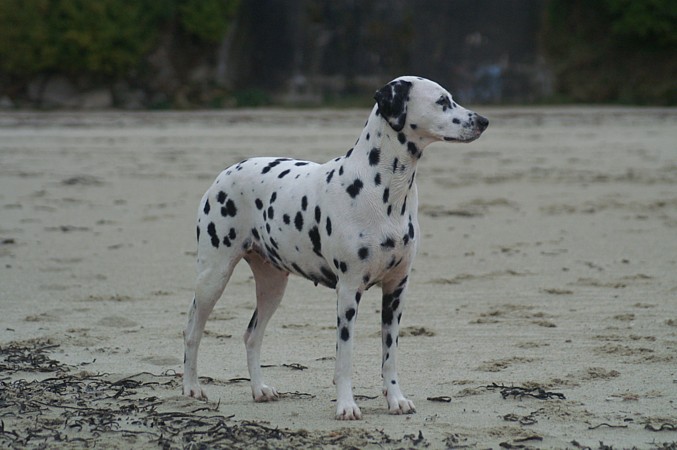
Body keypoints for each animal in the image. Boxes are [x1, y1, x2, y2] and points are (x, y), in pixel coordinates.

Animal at [182, 75, 488, 420]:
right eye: (442, 101)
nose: (483, 121)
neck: (384, 191)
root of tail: (227, 172)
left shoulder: (396, 290)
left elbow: (390, 356)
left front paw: (395, 399)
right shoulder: (348, 291)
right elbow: (345, 358)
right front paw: (346, 405)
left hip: (272, 287)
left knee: (252, 335)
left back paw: (259, 389)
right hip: (213, 276)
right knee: (192, 330)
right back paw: (191, 388)